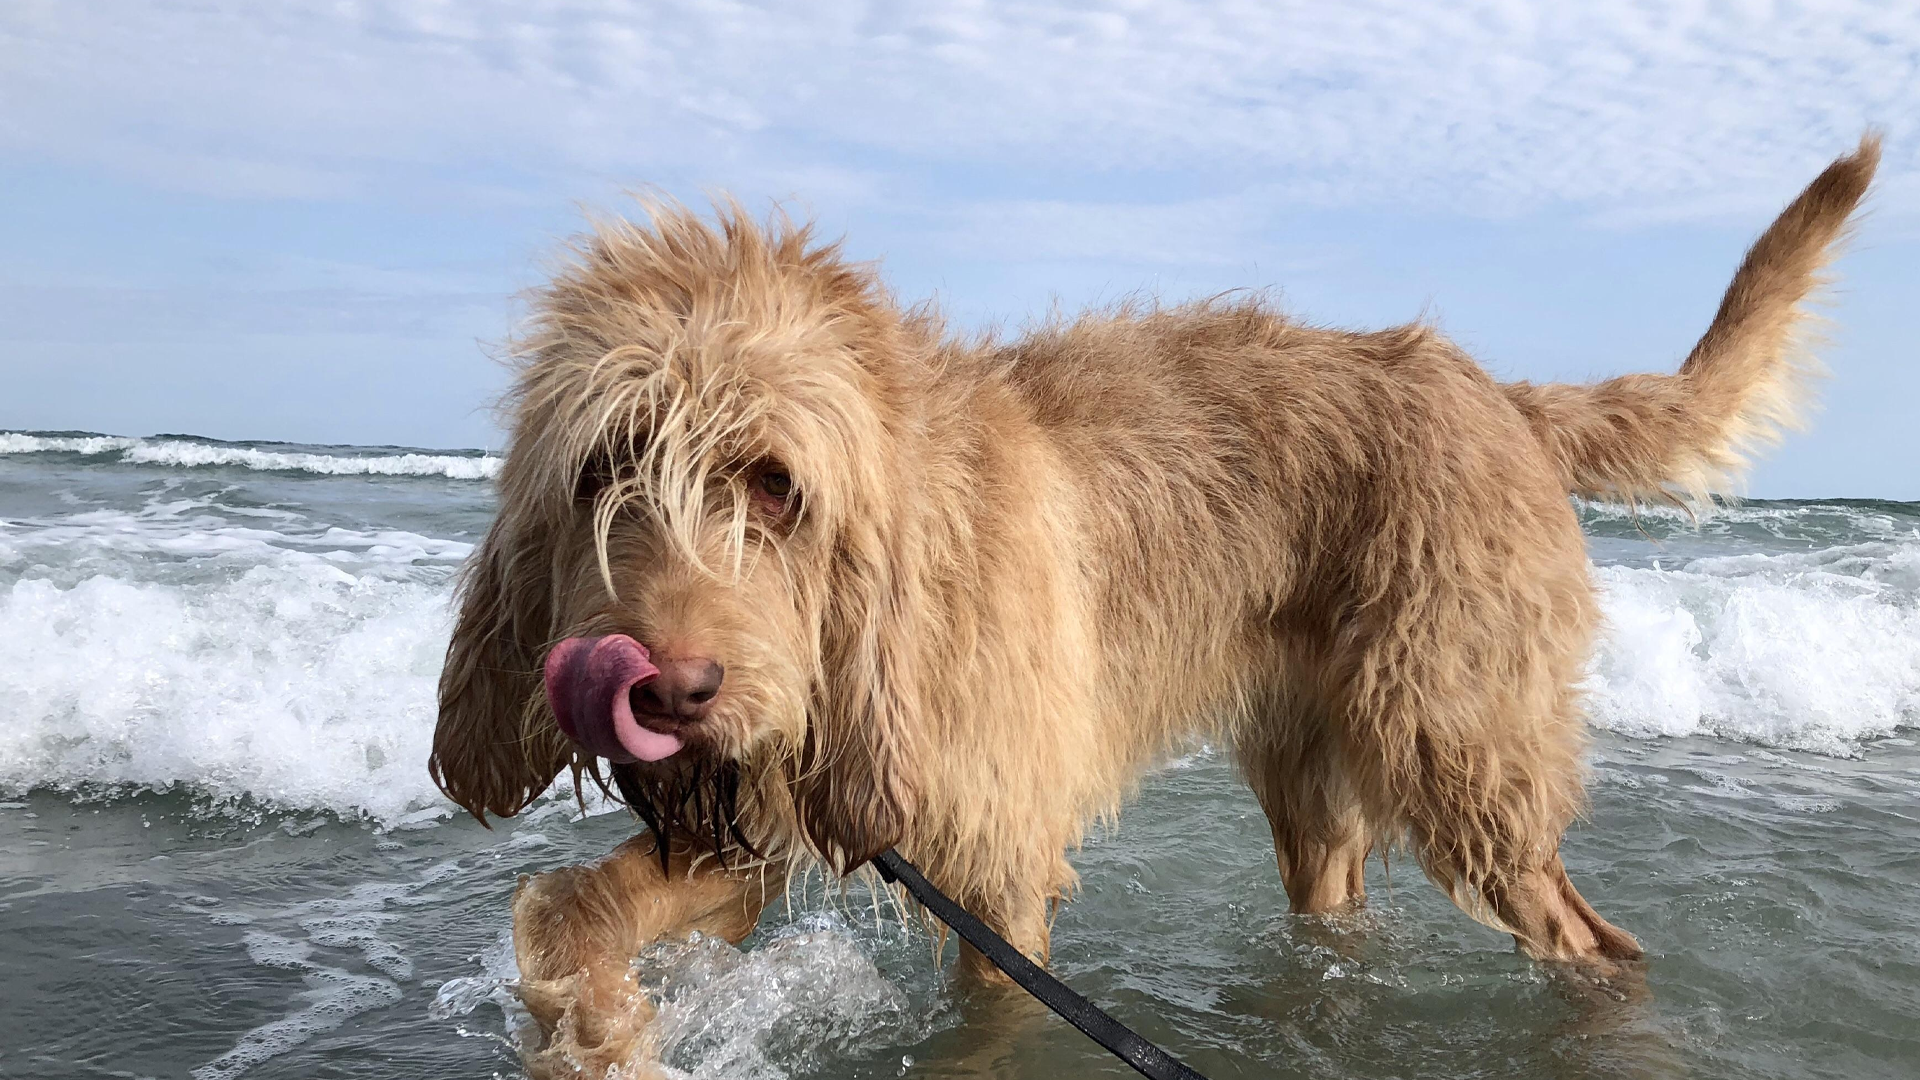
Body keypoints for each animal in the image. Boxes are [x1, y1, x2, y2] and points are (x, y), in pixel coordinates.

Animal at [432, 136, 1873, 1068]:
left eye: (775, 484)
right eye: (604, 468)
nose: (664, 689)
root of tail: (1501, 396)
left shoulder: (993, 869)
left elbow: (985, 1025)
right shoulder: (774, 811)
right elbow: (565, 914)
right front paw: (598, 1037)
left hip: (1460, 753)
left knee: (1594, 942)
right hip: (1315, 795)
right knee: (1343, 908)